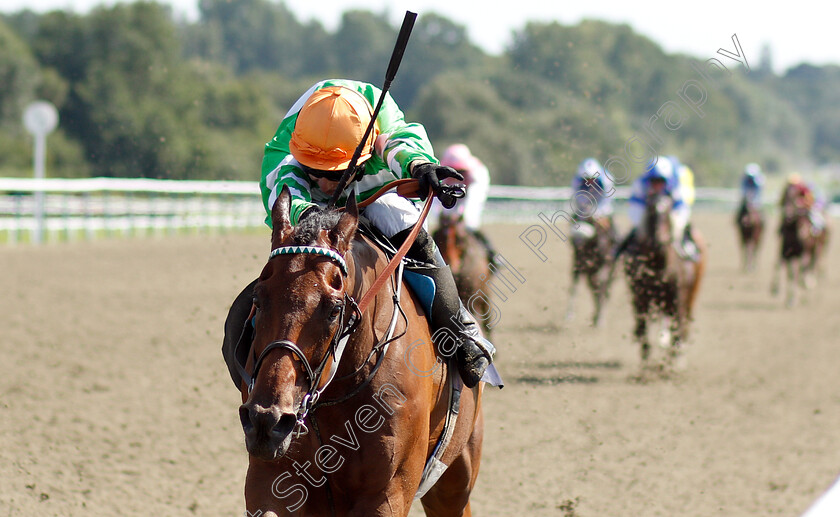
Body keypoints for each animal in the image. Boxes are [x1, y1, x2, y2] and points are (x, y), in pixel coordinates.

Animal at [236, 186, 486, 516]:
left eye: (334, 309)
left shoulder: (388, 492)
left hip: (454, 478)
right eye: (258, 298)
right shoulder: (271, 479)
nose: (267, 420)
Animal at [620, 192, 704, 366]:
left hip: (692, 293)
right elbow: (642, 329)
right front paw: (646, 363)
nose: (660, 239)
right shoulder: (639, 297)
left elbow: (677, 328)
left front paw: (672, 362)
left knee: (683, 325)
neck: (659, 264)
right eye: (652, 212)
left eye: (667, 212)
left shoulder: (678, 298)